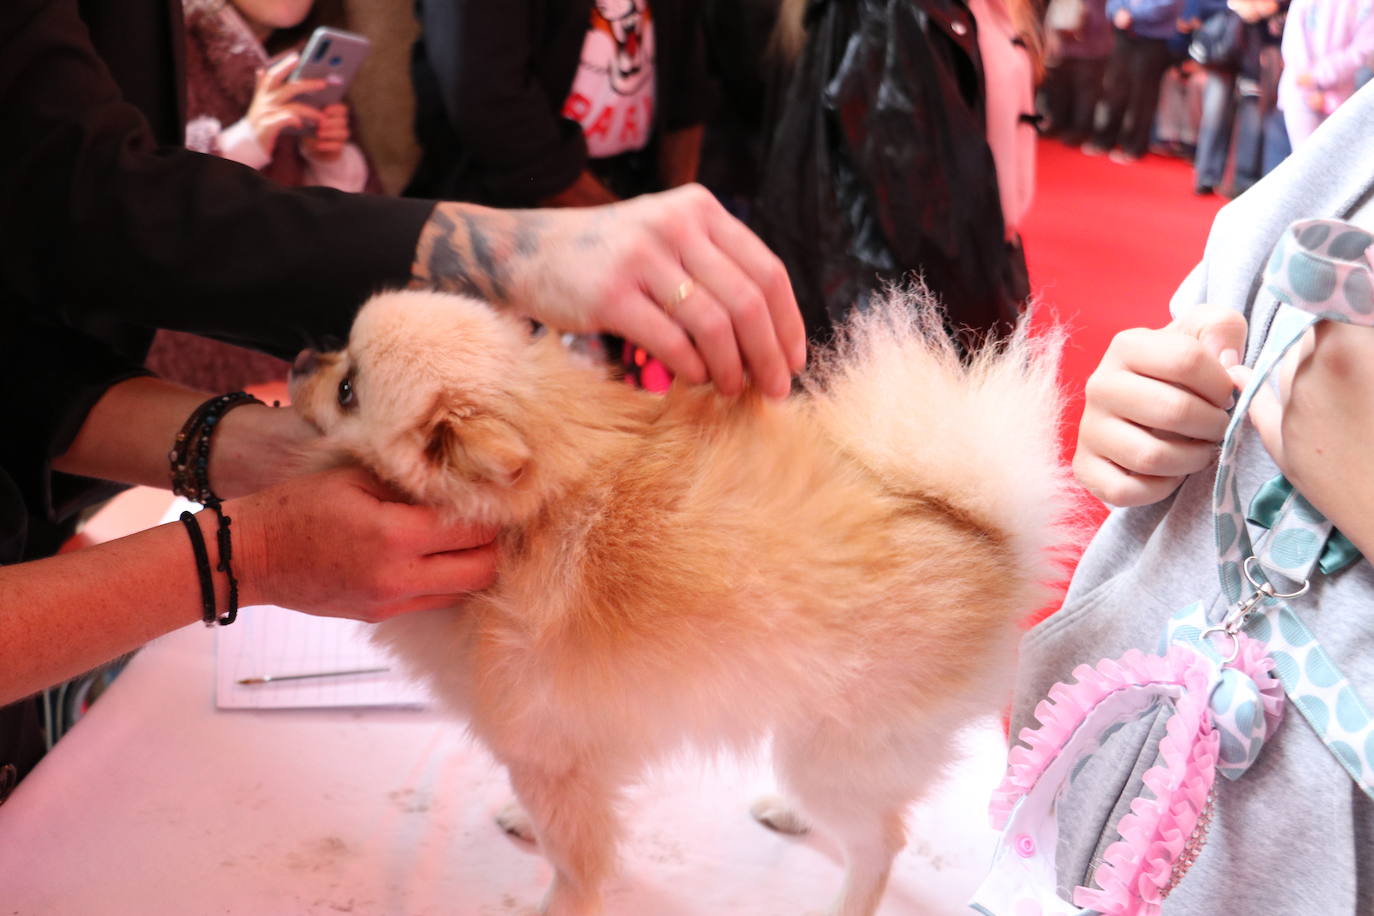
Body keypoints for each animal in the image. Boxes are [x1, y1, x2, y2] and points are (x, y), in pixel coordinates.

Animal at [289, 288, 1077, 916]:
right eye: (338, 349)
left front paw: (560, 900)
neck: (522, 512)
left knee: (881, 844)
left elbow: (575, 863)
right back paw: (789, 814)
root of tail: (987, 537)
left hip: (834, 747)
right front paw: (521, 822)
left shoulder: (548, 756)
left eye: (348, 389)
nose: (298, 358)